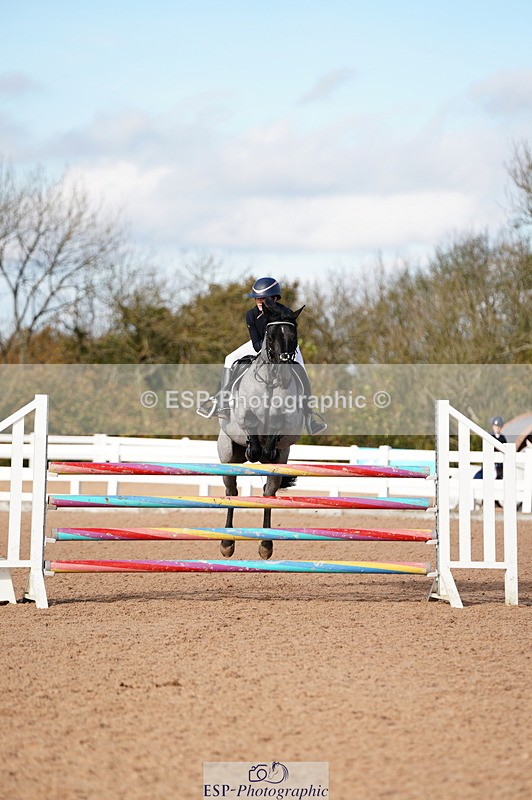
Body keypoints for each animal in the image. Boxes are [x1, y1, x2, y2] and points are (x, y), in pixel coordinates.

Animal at [216, 300, 306, 560]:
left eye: (293, 335)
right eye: (270, 335)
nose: (284, 368)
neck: (271, 382)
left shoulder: (286, 424)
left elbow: (275, 428)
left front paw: (266, 448)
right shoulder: (243, 416)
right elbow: (251, 427)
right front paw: (253, 450)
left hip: (282, 461)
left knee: (268, 493)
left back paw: (266, 545)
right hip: (228, 455)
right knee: (232, 491)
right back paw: (227, 543)